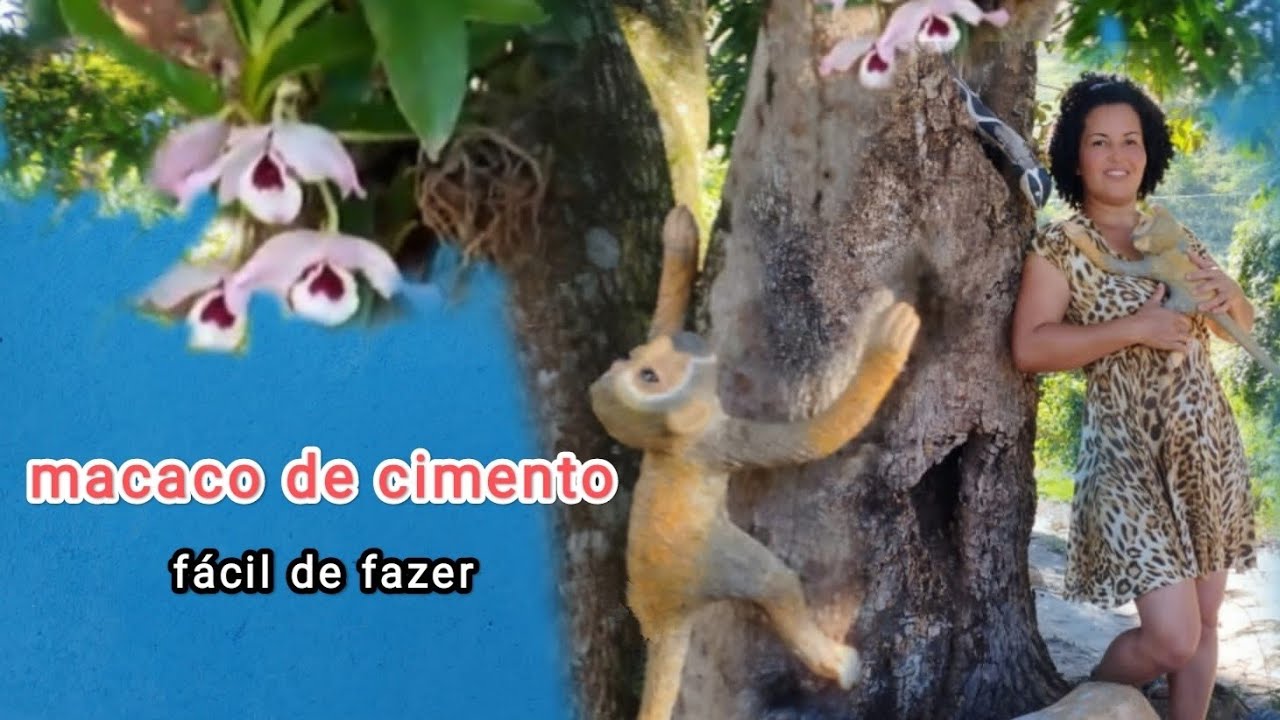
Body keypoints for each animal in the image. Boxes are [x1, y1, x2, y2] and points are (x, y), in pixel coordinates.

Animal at [588, 205, 921, 720]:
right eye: (649, 376)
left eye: (640, 363)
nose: (685, 344)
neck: (669, 447)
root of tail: (661, 618)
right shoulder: (717, 442)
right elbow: (814, 438)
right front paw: (885, 346)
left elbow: (662, 316)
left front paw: (680, 238)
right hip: (711, 564)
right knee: (774, 584)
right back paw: (836, 663)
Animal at [1061, 203, 1280, 377]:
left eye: (1143, 224)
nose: (1135, 224)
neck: (1170, 245)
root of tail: (1203, 302)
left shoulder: (1155, 264)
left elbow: (1115, 265)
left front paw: (1075, 233)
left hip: (1177, 303)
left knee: (1184, 325)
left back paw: (1175, 355)